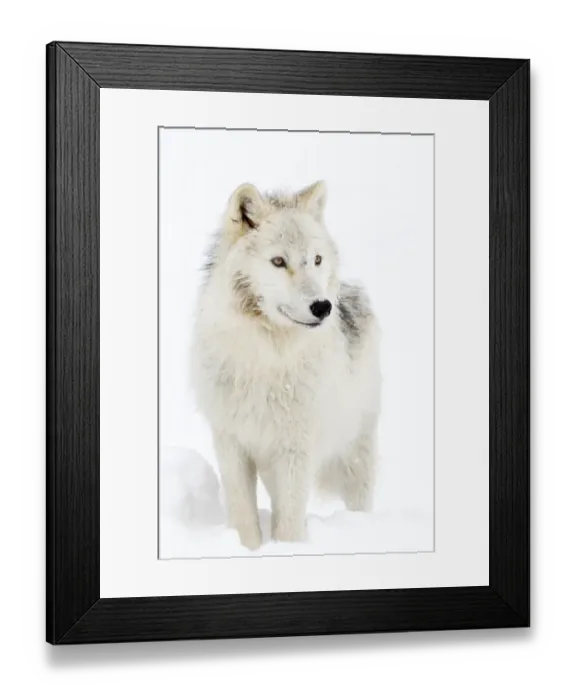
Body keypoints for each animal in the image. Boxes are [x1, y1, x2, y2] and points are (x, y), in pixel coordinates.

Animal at [191, 180, 381, 550]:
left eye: (316, 260)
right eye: (279, 262)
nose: (322, 306)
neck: (267, 357)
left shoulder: (296, 449)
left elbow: (290, 523)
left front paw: (288, 550)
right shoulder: (231, 443)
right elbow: (244, 514)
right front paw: (250, 550)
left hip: (354, 453)